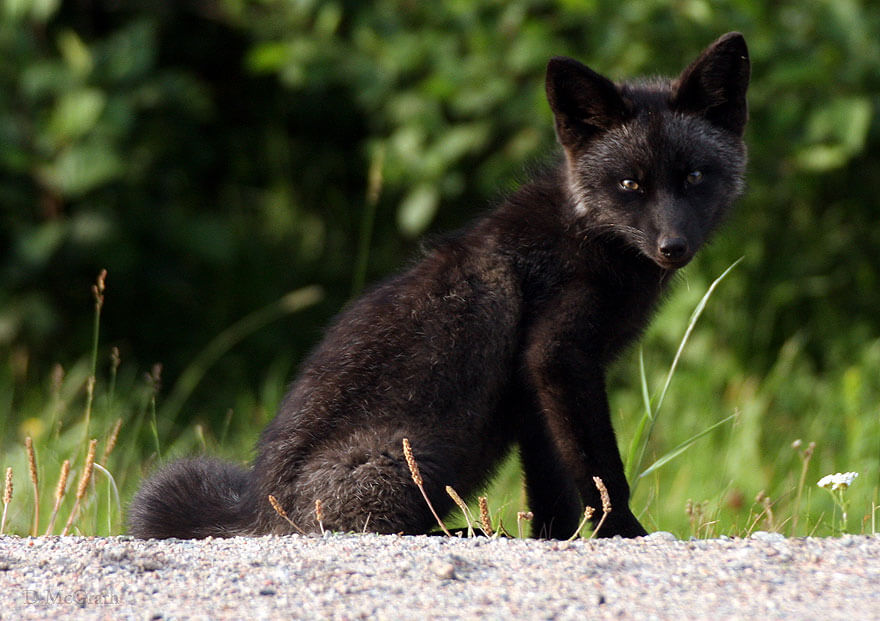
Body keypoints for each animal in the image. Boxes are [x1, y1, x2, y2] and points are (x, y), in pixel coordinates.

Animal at [129, 32, 748, 536]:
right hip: (411, 461)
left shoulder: (533, 386)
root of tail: (257, 512)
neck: (585, 233)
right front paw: (623, 534)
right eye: (629, 184)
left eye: (694, 176)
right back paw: (468, 533)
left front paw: (554, 539)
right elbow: (599, 471)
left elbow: (553, 485)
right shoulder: (557, 358)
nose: (673, 247)